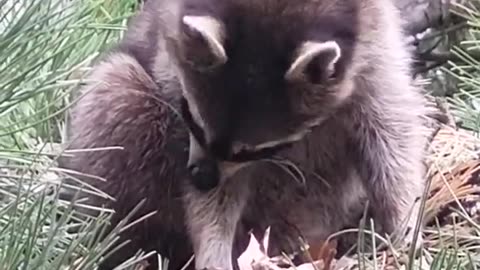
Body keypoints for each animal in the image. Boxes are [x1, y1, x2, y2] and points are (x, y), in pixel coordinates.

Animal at [59, 0, 436, 270]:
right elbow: (211, 196)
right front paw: (213, 246)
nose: (202, 178)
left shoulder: (376, 48)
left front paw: (404, 227)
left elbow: (391, 134)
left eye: (250, 151)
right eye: (193, 120)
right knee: (120, 91)